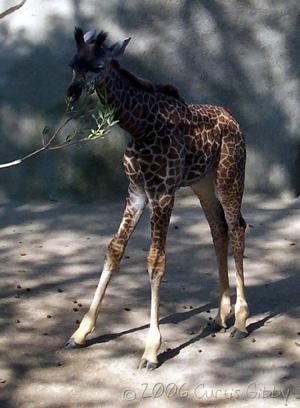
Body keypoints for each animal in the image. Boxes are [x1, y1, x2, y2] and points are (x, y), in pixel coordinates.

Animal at [64, 27, 250, 370]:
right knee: (218, 229)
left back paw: (242, 322)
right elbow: (114, 249)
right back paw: (221, 316)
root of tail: (233, 119)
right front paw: (80, 333)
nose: (72, 93)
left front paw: (151, 350)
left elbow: (155, 260)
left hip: (230, 176)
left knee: (237, 227)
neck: (140, 127)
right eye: (73, 64)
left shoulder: (163, 193)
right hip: (202, 183)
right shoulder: (136, 191)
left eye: (98, 66)